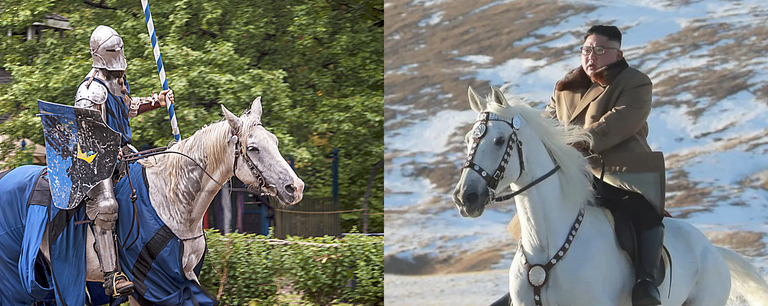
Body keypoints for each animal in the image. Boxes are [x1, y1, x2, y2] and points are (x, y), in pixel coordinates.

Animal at [42, 97, 304, 302]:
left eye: (275, 142)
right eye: (253, 148)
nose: (295, 187)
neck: (174, 201)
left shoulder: (184, 275)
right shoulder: (153, 283)